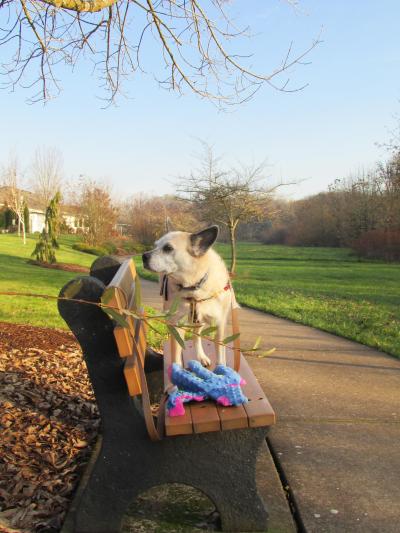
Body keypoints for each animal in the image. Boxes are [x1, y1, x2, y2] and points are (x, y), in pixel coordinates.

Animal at [142, 224, 234, 366]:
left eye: (168, 248)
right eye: (155, 245)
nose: (143, 256)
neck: (195, 287)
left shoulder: (219, 326)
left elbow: (220, 356)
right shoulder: (177, 324)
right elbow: (176, 355)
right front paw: (177, 369)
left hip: (199, 321)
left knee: (196, 336)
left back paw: (201, 356)